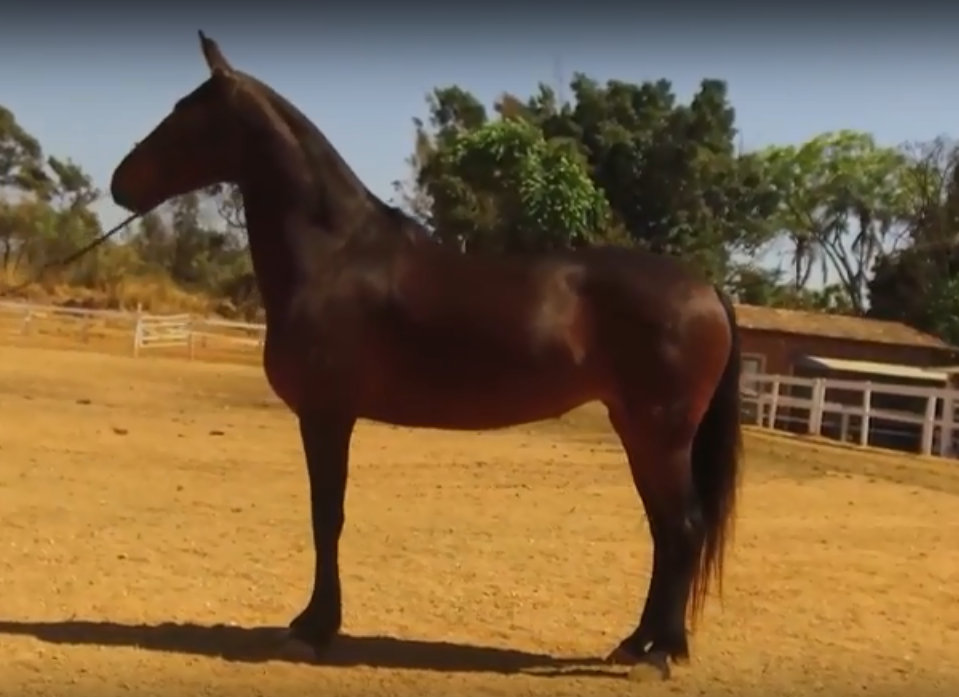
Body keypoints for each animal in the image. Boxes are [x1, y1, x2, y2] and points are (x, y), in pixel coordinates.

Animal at [110, 31, 744, 676]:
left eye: (186, 115)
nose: (119, 184)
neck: (338, 255)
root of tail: (707, 291)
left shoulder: (326, 415)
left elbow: (326, 516)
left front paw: (313, 629)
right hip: (639, 432)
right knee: (666, 531)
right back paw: (637, 643)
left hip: (660, 434)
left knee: (683, 528)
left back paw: (659, 652)